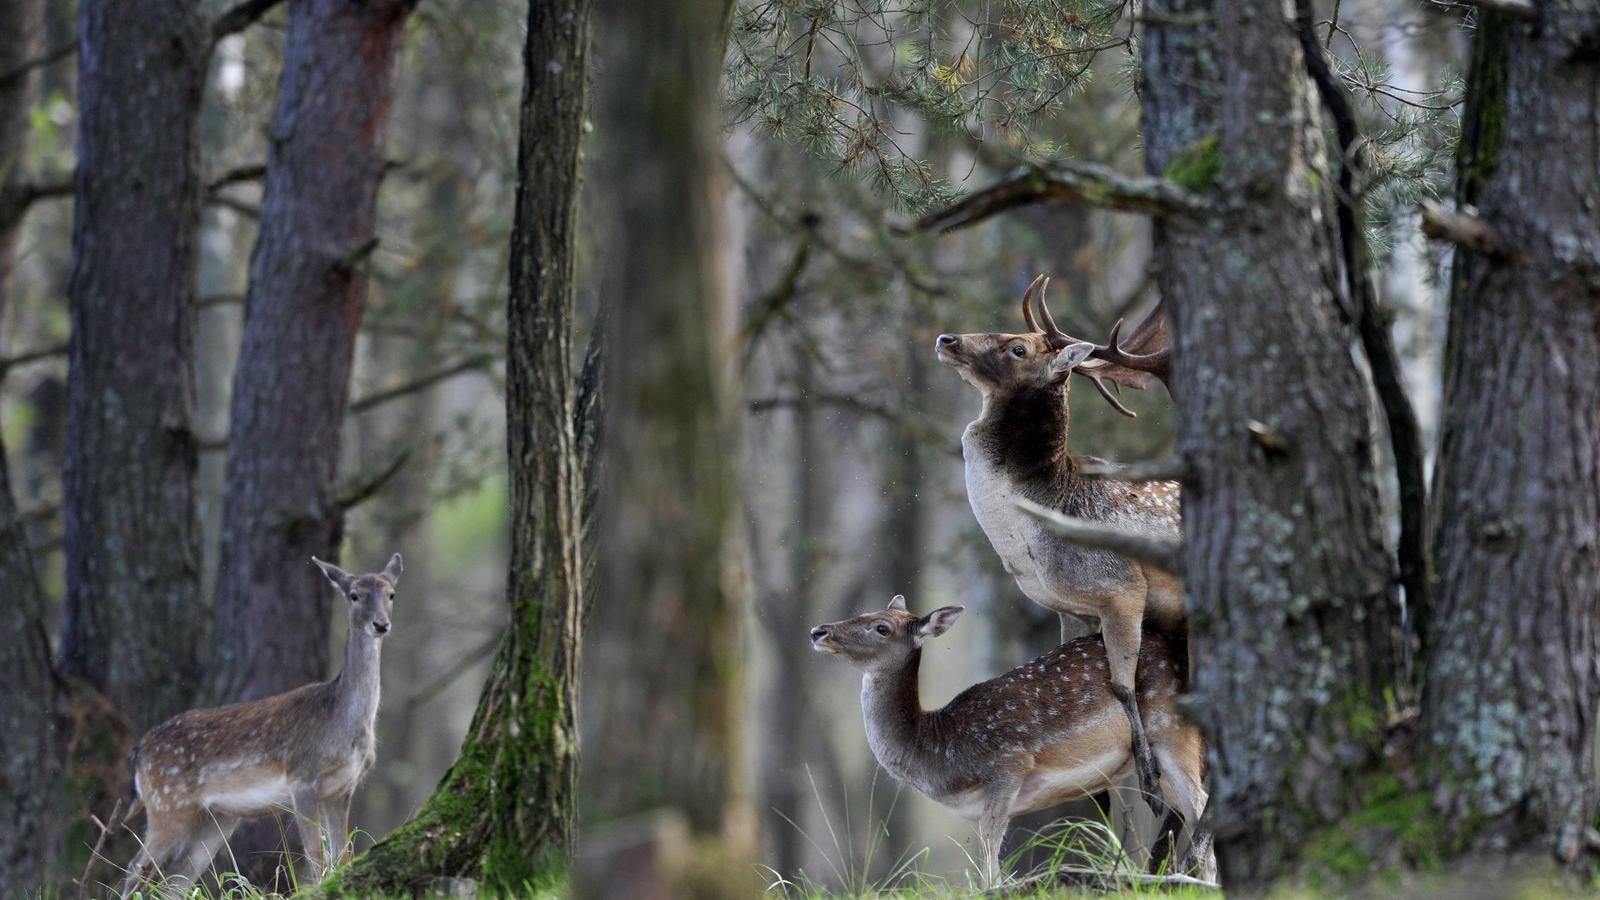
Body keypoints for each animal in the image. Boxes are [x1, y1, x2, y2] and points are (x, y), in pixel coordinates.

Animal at [121, 550, 403, 890]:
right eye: (354, 595)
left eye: (391, 594)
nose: (381, 624)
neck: (343, 726)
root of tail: (139, 751)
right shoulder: (303, 778)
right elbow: (317, 859)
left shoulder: (342, 788)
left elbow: (342, 857)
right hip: (167, 803)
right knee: (136, 869)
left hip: (217, 817)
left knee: (177, 879)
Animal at [806, 592, 1203, 877]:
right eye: (863, 613)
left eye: (881, 627)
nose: (819, 631)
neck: (936, 751)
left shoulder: (1008, 763)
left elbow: (989, 847)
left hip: (1172, 730)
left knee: (1199, 802)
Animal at [934, 275, 1184, 813]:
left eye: (1017, 347)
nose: (947, 339)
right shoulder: (1069, 609)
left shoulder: (1122, 591)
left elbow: (1121, 686)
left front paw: (1151, 787)